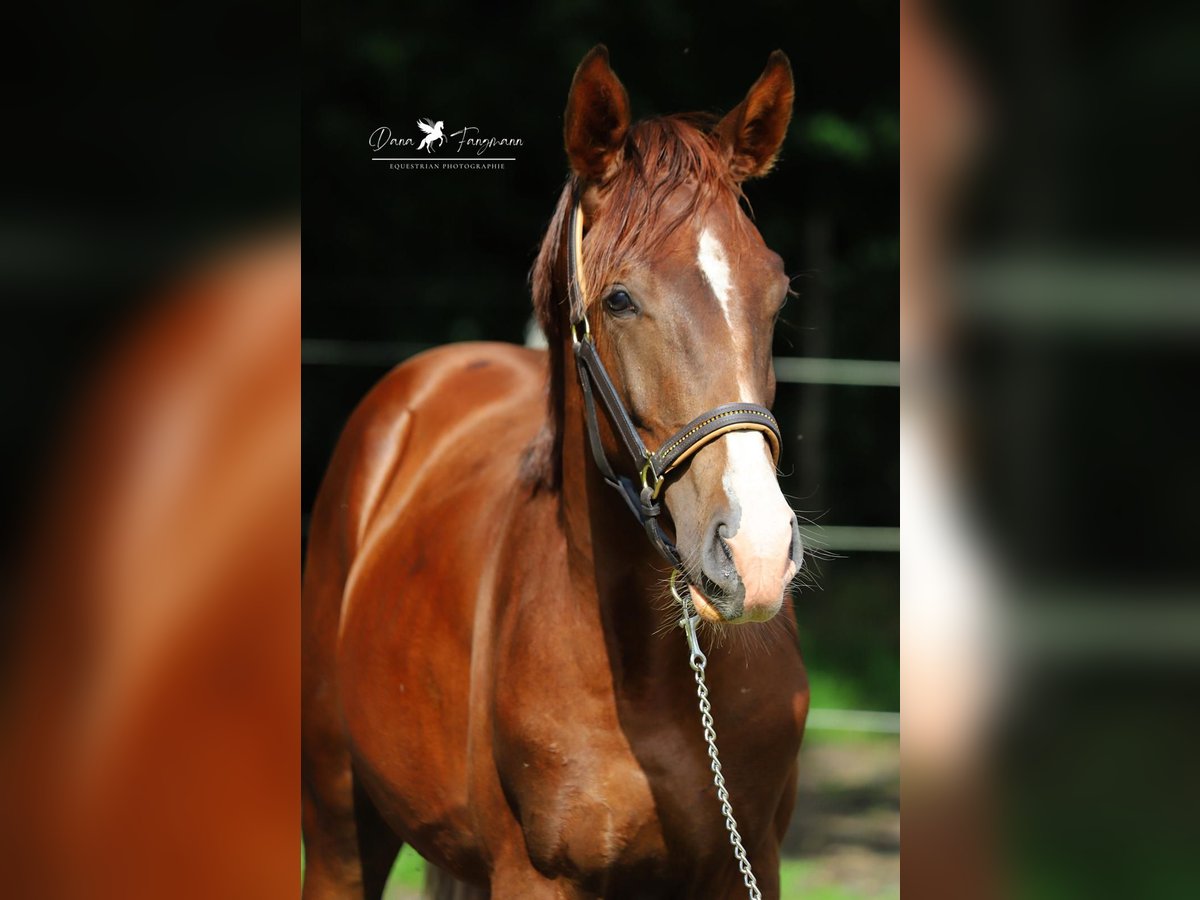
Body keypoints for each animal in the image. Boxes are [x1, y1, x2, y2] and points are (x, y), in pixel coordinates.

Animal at [300, 47, 811, 900]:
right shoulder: (533, 875)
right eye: (621, 299)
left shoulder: (752, 864)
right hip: (342, 829)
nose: (757, 554)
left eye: (776, 294)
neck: (654, 682)